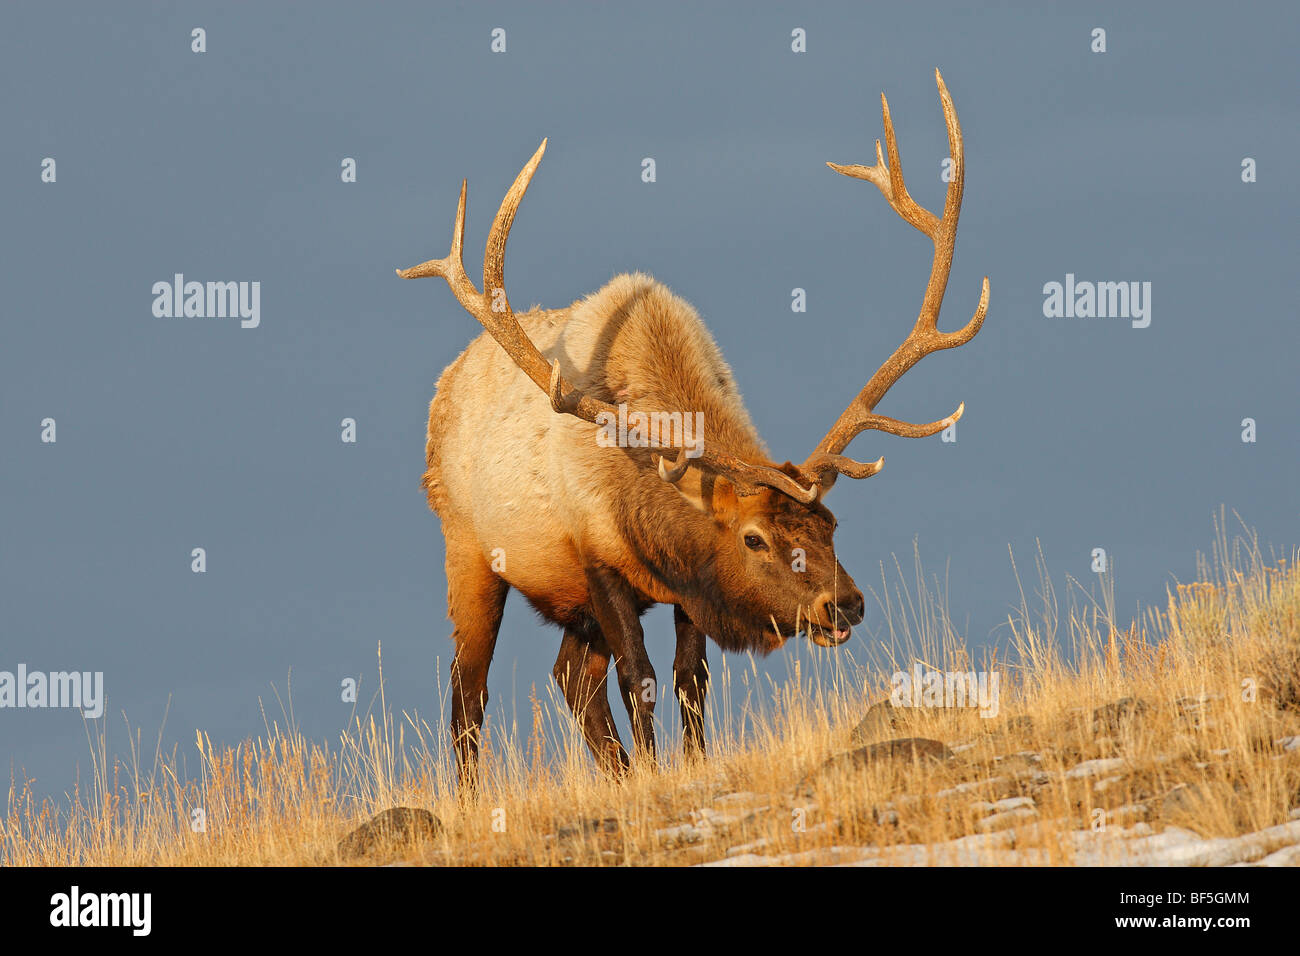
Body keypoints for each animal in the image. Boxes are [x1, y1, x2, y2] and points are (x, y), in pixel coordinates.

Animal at [396, 70, 988, 792]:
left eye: (830, 524)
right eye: (755, 538)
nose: (844, 604)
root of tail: (446, 385)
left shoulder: (688, 583)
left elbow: (690, 679)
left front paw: (687, 766)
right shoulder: (595, 558)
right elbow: (640, 677)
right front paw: (655, 773)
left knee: (570, 678)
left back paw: (615, 771)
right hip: (469, 547)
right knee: (469, 689)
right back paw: (477, 795)